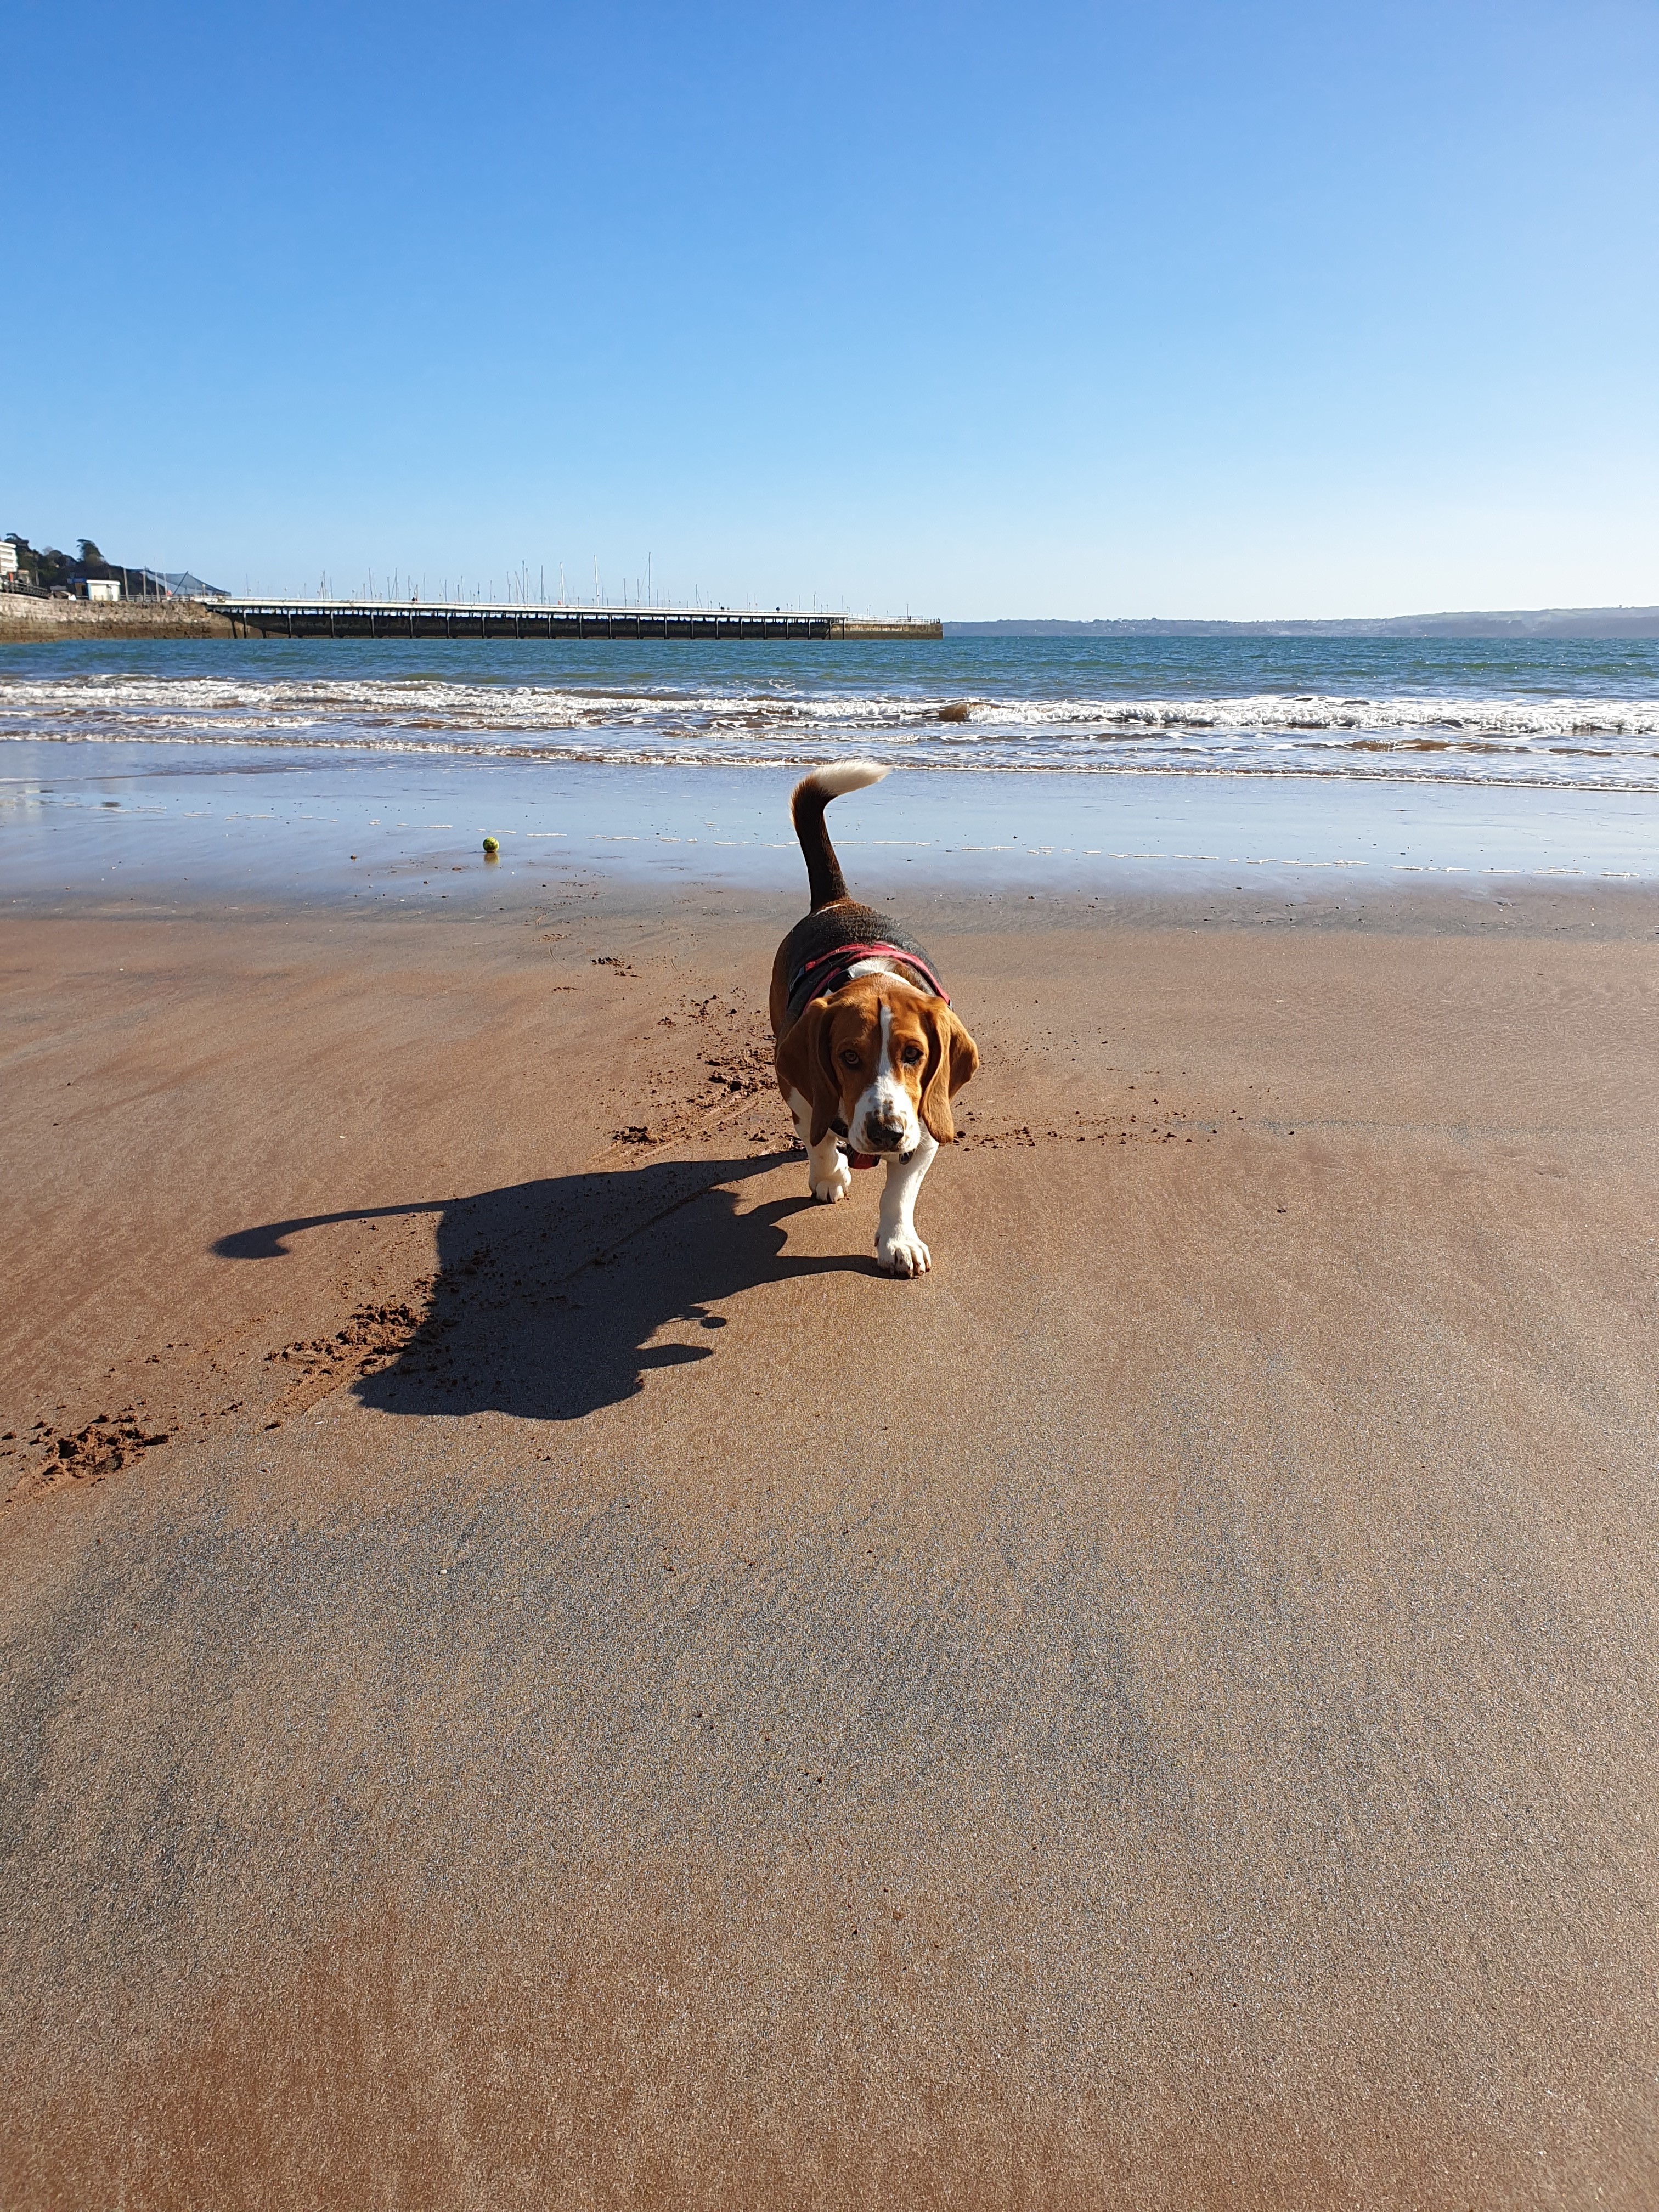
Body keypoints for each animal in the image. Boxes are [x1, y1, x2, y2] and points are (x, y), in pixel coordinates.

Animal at [771, 762, 979, 1277]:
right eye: (848, 1057)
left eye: (914, 1054)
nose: (887, 1134)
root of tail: (838, 903)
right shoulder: (802, 1096)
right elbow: (818, 1139)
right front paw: (829, 1175)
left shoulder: (924, 1131)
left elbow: (898, 1195)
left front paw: (898, 1241)